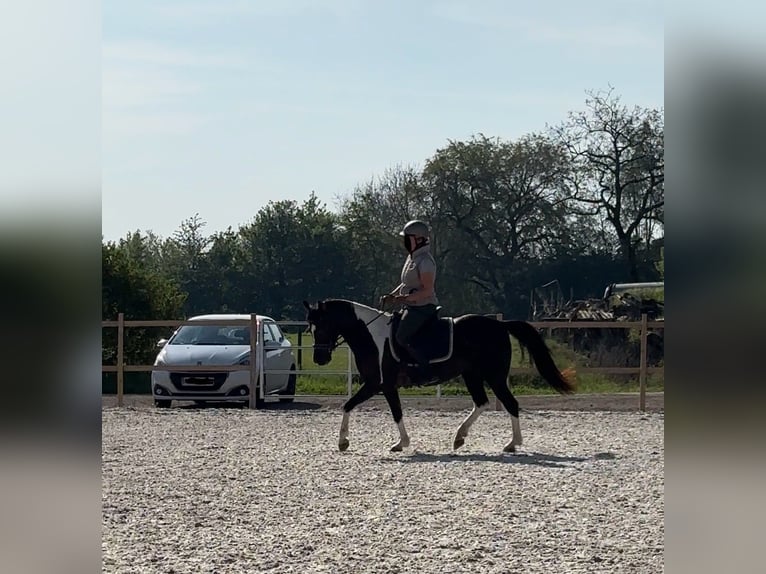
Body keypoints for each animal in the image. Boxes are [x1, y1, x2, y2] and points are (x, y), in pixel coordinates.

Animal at [304, 302, 576, 454]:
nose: (319, 359)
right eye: (311, 327)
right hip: (472, 375)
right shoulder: (381, 386)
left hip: (494, 376)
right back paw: (459, 438)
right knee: (482, 403)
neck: (372, 336)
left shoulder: (378, 384)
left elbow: (383, 411)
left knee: (510, 404)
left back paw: (512, 444)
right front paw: (347, 442)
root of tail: (500, 325)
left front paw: (397, 443)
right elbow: (358, 407)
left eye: (323, 326)